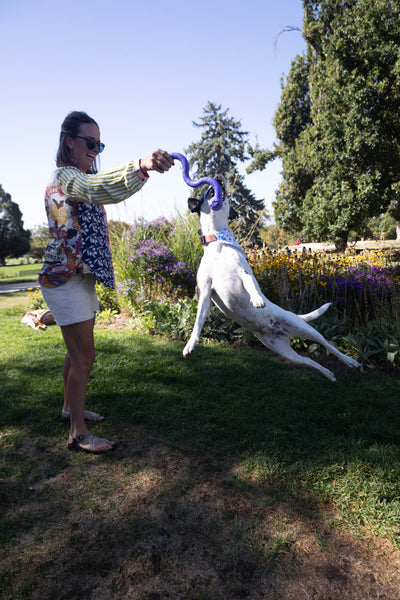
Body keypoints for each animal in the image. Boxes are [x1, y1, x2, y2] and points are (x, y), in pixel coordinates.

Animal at [183, 178, 360, 382]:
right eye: (208, 191)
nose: (219, 177)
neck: (217, 241)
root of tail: (283, 326)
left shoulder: (244, 273)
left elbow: (251, 285)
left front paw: (257, 299)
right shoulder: (205, 291)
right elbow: (198, 322)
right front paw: (190, 345)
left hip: (304, 329)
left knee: (328, 344)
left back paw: (350, 361)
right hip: (281, 349)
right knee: (308, 361)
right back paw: (329, 374)